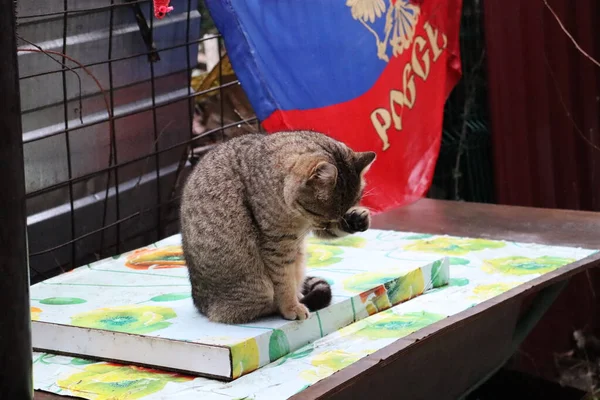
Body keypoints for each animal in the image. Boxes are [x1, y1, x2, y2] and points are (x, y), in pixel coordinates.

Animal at [178, 130, 376, 324]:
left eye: (344, 211)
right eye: (321, 215)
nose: (330, 224)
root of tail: (201, 305)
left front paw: (357, 218)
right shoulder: (277, 246)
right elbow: (284, 283)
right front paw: (291, 307)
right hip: (257, 287)